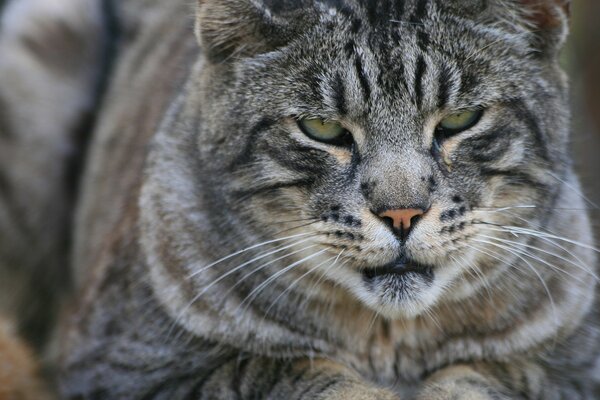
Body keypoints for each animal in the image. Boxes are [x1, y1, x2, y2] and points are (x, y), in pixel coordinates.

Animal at [1, 0, 600, 396]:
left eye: (460, 120)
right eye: (322, 129)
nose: (401, 213)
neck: (389, 342)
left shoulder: (571, 369)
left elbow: (490, 376)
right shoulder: (123, 362)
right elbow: (286, 369)